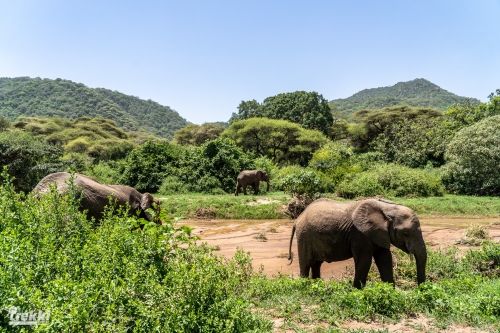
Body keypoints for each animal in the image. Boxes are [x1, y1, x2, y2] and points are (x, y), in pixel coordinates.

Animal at [290, 197, 426, 288]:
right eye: (406, 233)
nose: (420, 289)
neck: (386, 208)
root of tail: (297, 218)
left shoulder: (379, 234)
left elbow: (385, 259)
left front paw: (389, 291)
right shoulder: (360, 234)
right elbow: (365, 261)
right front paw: (357, 290)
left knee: (316, 264)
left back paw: (317, 284)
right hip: (304, 236)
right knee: (306, 263)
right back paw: (305, 286)